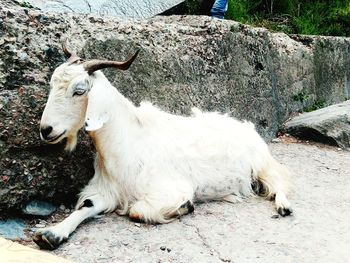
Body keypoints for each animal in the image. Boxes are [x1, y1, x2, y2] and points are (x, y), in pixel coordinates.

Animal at [34, 46, 292, 251]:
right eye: (52, 84)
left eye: (79, 90)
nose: (46, 129)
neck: (128, 141)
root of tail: (243, 124)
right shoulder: (107, 190)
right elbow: (86, 206)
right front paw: (51, 234)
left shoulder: (168, 189)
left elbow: (137, 210)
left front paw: (184, 207)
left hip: (262, 163)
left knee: (279, 182)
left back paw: (284, 206)